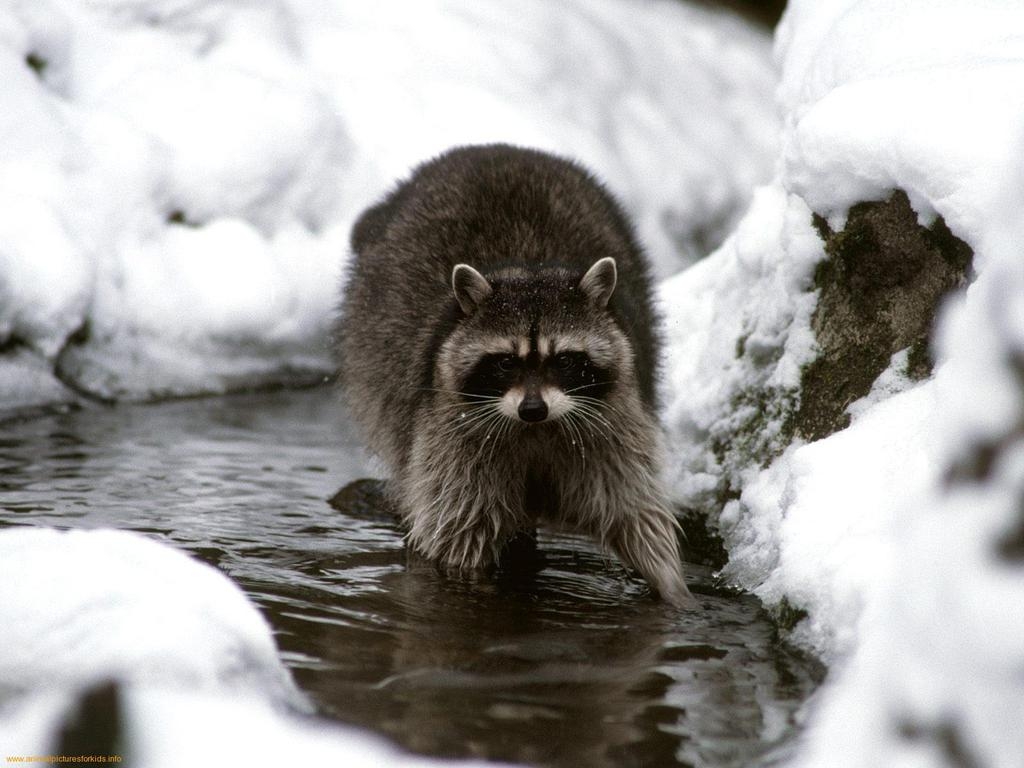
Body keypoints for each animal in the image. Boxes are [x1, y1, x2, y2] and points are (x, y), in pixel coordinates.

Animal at [335, 147, 696, 610]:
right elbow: (457, 535)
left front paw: (674, 592)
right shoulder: (452, 439)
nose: (533, 408)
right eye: (506, 362)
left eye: (564, 360)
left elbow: (637, 518)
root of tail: (496, 148)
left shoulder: (613, 428)